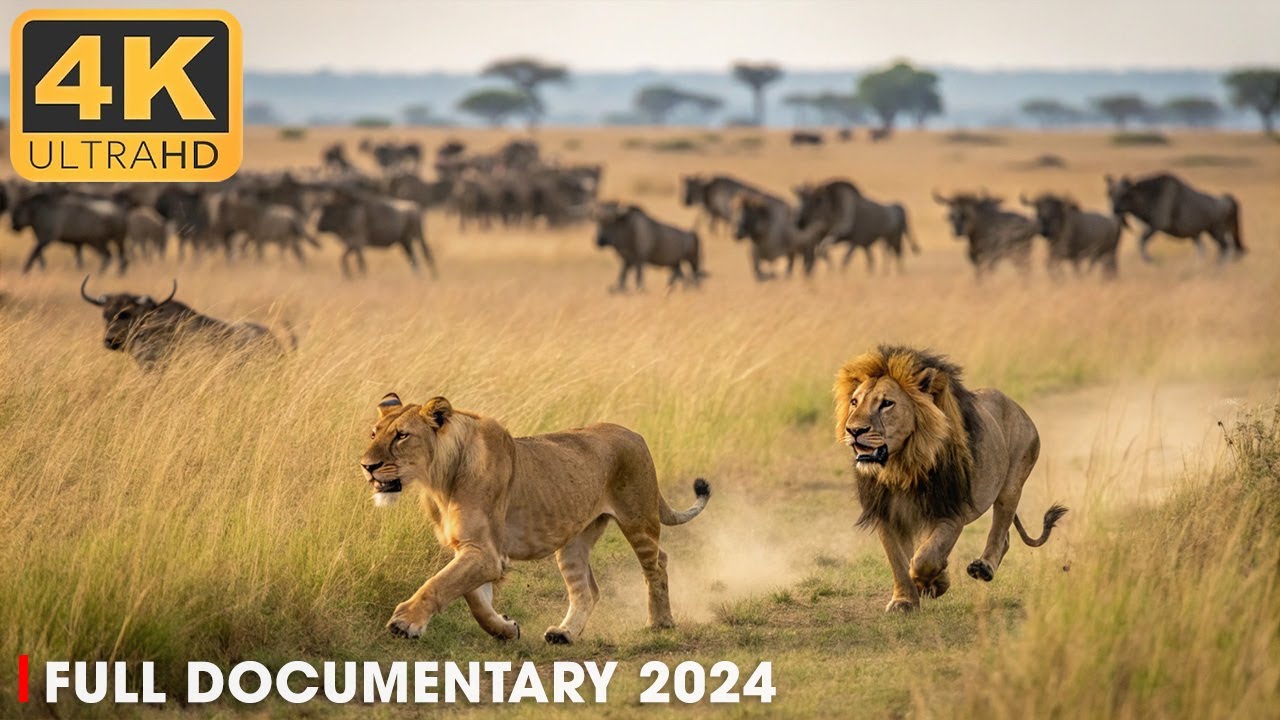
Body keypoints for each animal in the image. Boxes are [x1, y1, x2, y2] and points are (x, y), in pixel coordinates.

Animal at [360, 393, 711, 644]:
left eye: (402, 436)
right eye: (374, 434)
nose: (366, 465)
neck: (437, 482)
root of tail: (634, 433)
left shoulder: (485, 552)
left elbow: (440, 583)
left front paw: (406, 622)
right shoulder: (475, 549)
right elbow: (473, 598)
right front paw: (504, 628)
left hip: (638, 519)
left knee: (658, 563)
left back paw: (660, 623)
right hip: (573, 541)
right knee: (587, 590)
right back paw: (564, 633)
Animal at [833, 345, 1066, 612]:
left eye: (887, 404)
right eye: (854, 402)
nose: (854, 431)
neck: (901, 466)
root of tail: (1016, 406)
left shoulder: (951, 512)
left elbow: (925, 557)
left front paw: (930, 582)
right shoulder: (886, 514)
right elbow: (899, 560)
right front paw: (906, 600)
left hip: (1011, 486)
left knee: (1000, 530)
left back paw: (983, 568)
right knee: (1004, 536)